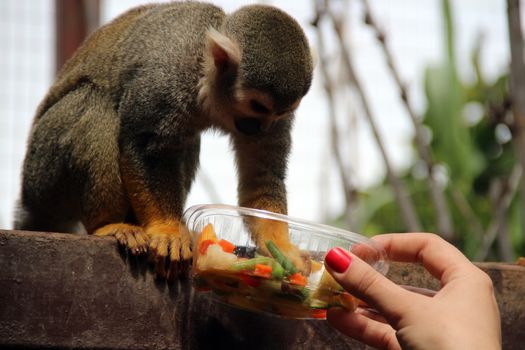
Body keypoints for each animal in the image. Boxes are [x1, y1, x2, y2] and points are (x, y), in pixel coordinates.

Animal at [14, 0, 314, 278]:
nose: (260, 128)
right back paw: (107, 225)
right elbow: (146, 146)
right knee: (93, 103)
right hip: (43, 170)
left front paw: (281, 248)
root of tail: (30, 201)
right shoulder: (169, 77)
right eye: (257, 107)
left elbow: (263, 176)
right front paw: (168, 230)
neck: (208, 80)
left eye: (279, 113)